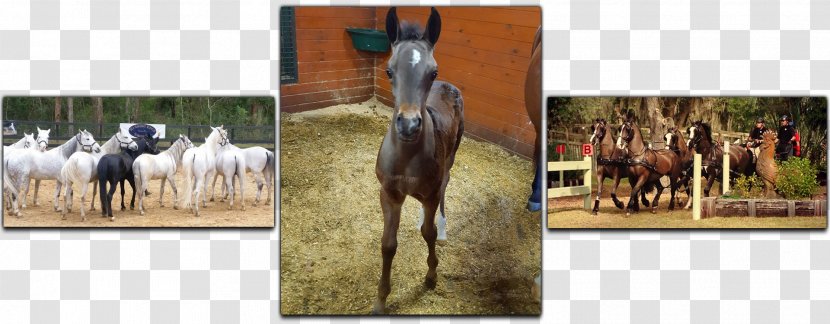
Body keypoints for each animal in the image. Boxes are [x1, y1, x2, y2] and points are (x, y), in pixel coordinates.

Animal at [372, 6, 464, 314]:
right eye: (389, 70)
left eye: (433, 72)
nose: (409, 125)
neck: (408, 158)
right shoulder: (389, 193)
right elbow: (388, 244)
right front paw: (380, 301)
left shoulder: (430, 194)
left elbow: (429, 232)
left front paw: (432, 275)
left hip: (452, 156)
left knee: (447, 182)